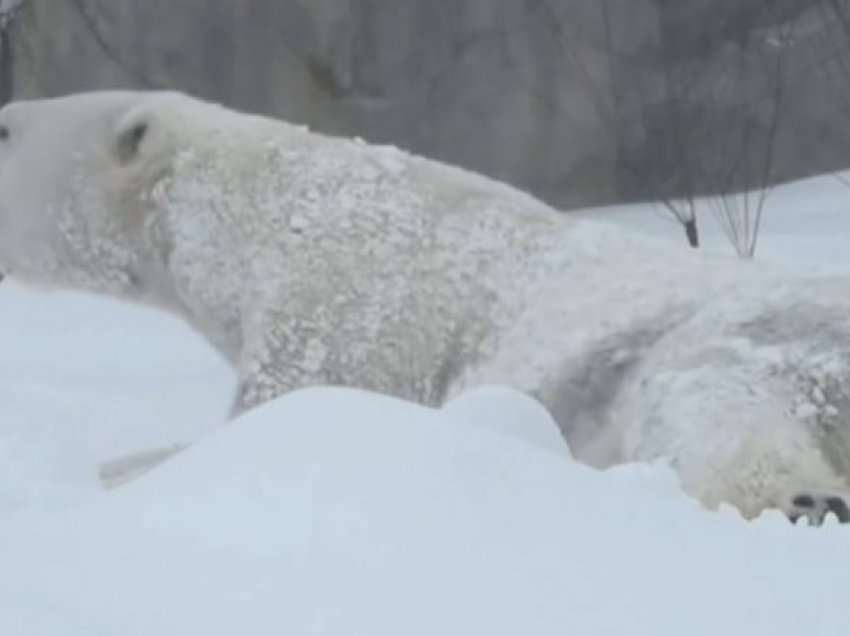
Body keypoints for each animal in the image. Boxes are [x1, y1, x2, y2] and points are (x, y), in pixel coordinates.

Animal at [1, 90, 848, 528]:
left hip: (731, 336)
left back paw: (806, 499)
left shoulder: (340, 305)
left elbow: (280, 413)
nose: (5, 111)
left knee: (708, 405)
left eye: (7, 126)